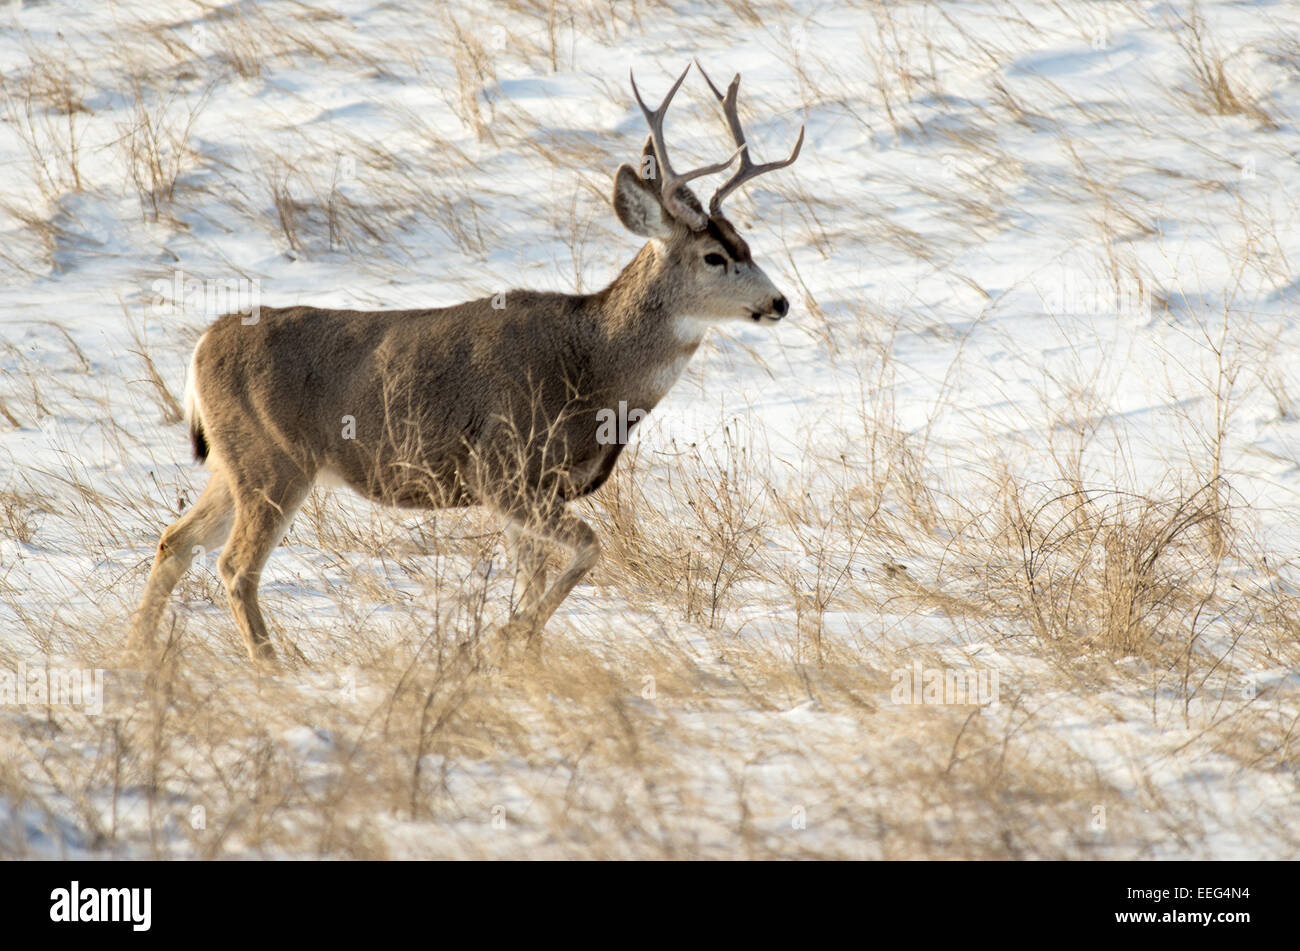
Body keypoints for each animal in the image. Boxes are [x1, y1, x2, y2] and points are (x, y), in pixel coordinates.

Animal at [128, 62, 804, 665]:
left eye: (746, 243)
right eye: (715, 256)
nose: (779, 302)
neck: (594, 369)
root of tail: (203, 344)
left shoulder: (527, 490)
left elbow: (535, 575)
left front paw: (518, 651)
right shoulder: (500, 471)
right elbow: (589, 550)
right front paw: (496, 639)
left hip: (233, 461)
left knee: (175, 541)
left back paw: (138, 651)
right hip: (274, 460)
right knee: (234, 564)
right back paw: (273, 666)